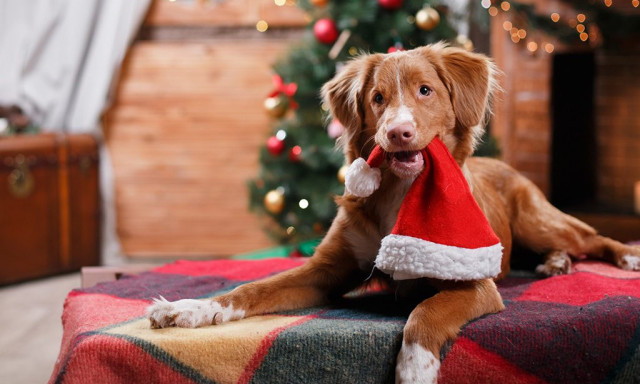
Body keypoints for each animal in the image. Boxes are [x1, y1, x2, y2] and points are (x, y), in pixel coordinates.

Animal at [146, 43, 640, 382]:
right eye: (377, 98)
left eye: (425, 91)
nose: (397, 133)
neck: (399, 195)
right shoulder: (324, 272)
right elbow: (251, 288)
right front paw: (191, 310)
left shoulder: (474, 284)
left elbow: (424, 315)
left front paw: (416, 368)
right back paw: (554, 264)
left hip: (538, 220)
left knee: (590, 237)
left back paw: (621, 256)